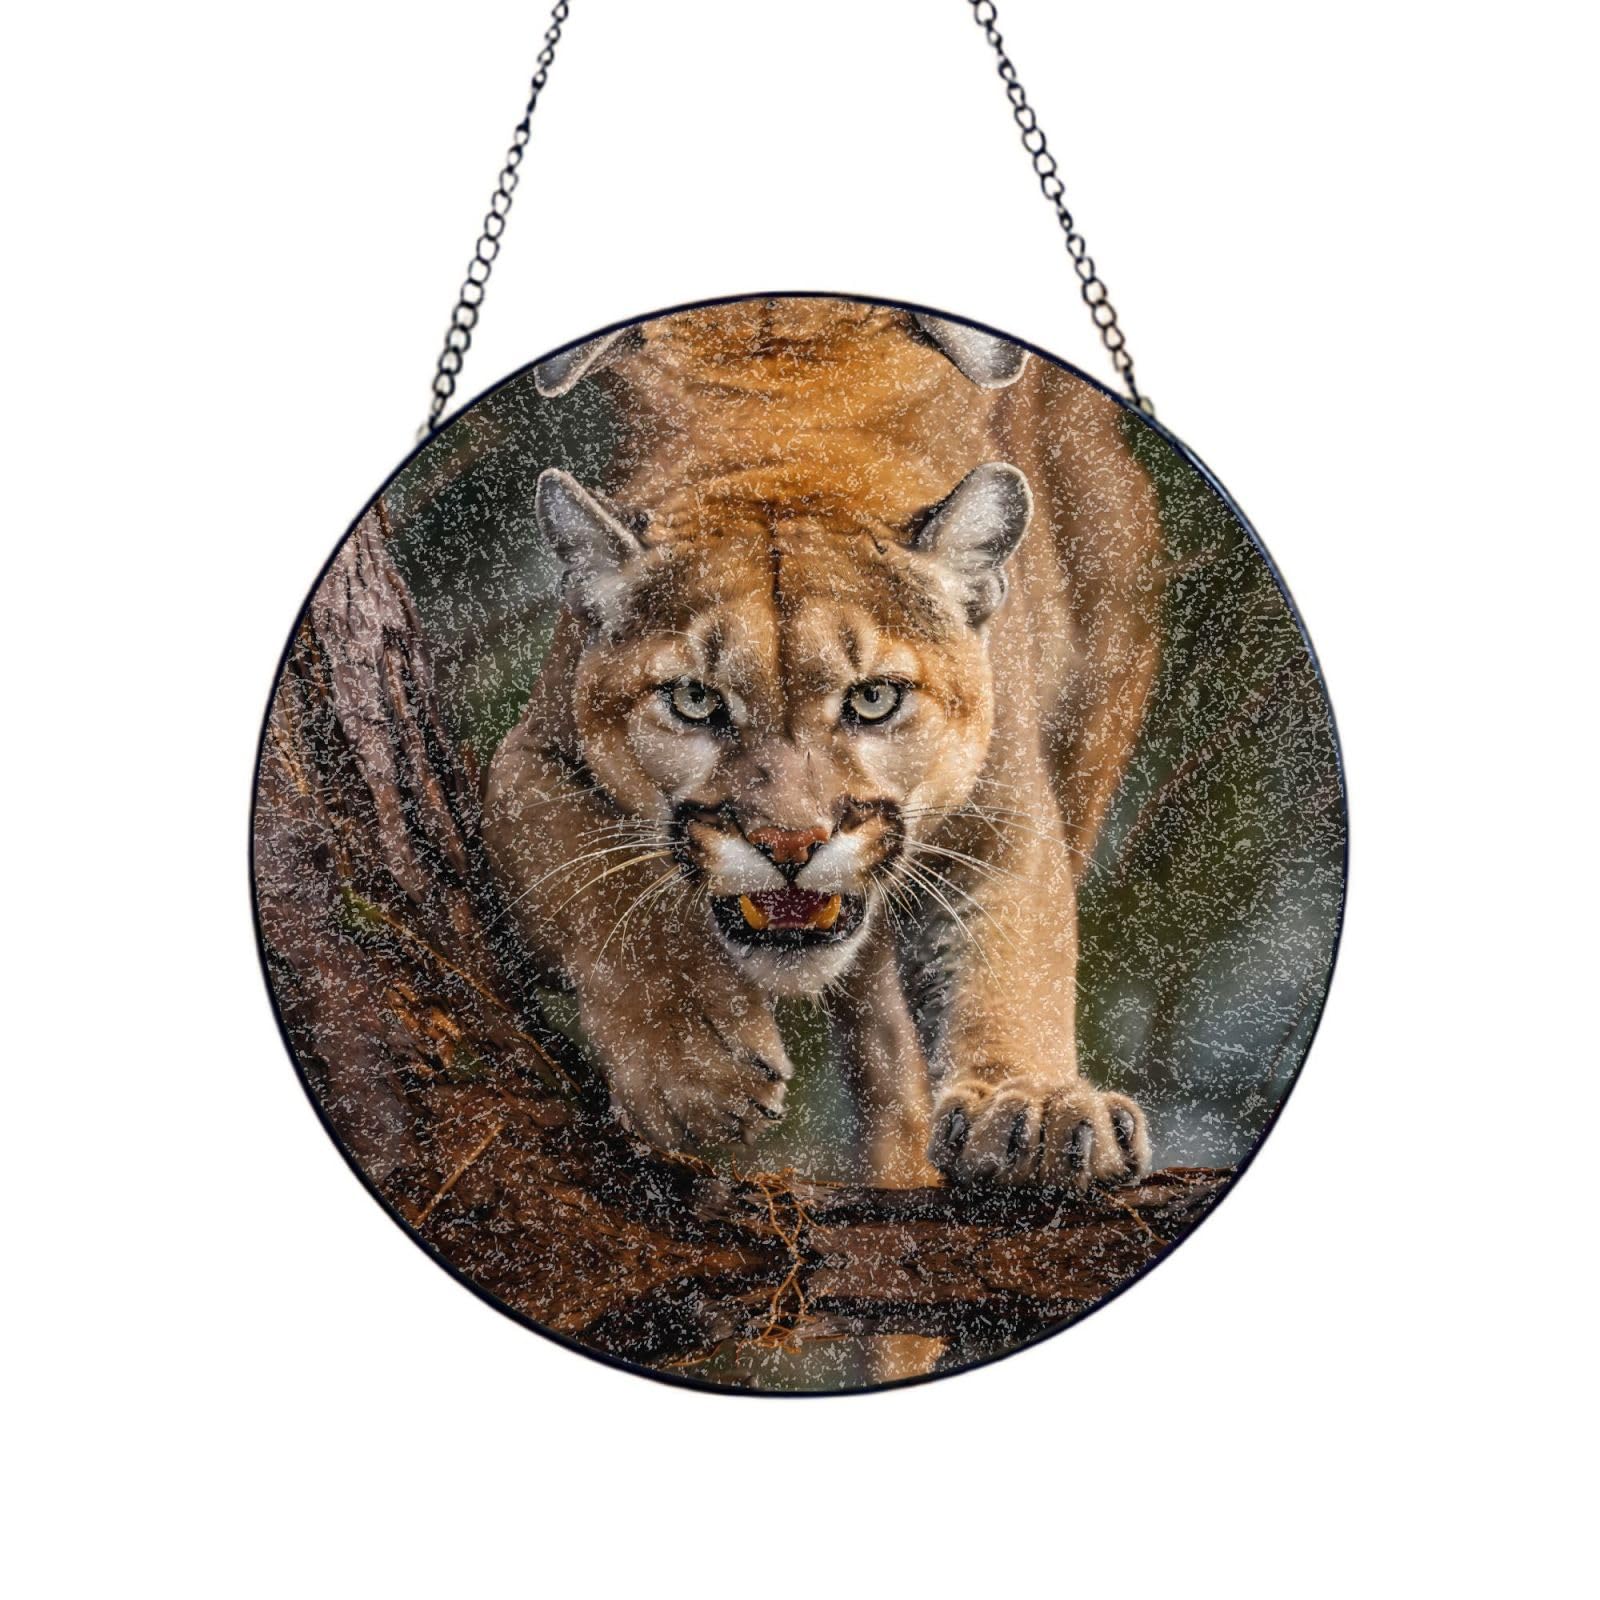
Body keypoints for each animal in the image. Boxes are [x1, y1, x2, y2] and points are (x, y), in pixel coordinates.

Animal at [483, 297, 1164, 1190]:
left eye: (874, 699)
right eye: (695, 700)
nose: (789, 843)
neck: (787, 445)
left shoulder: (1000, 812)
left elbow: (1016, 958)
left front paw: (1032, 1106)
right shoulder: (525, 757)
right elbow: (588, 868)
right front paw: (696, 1070)